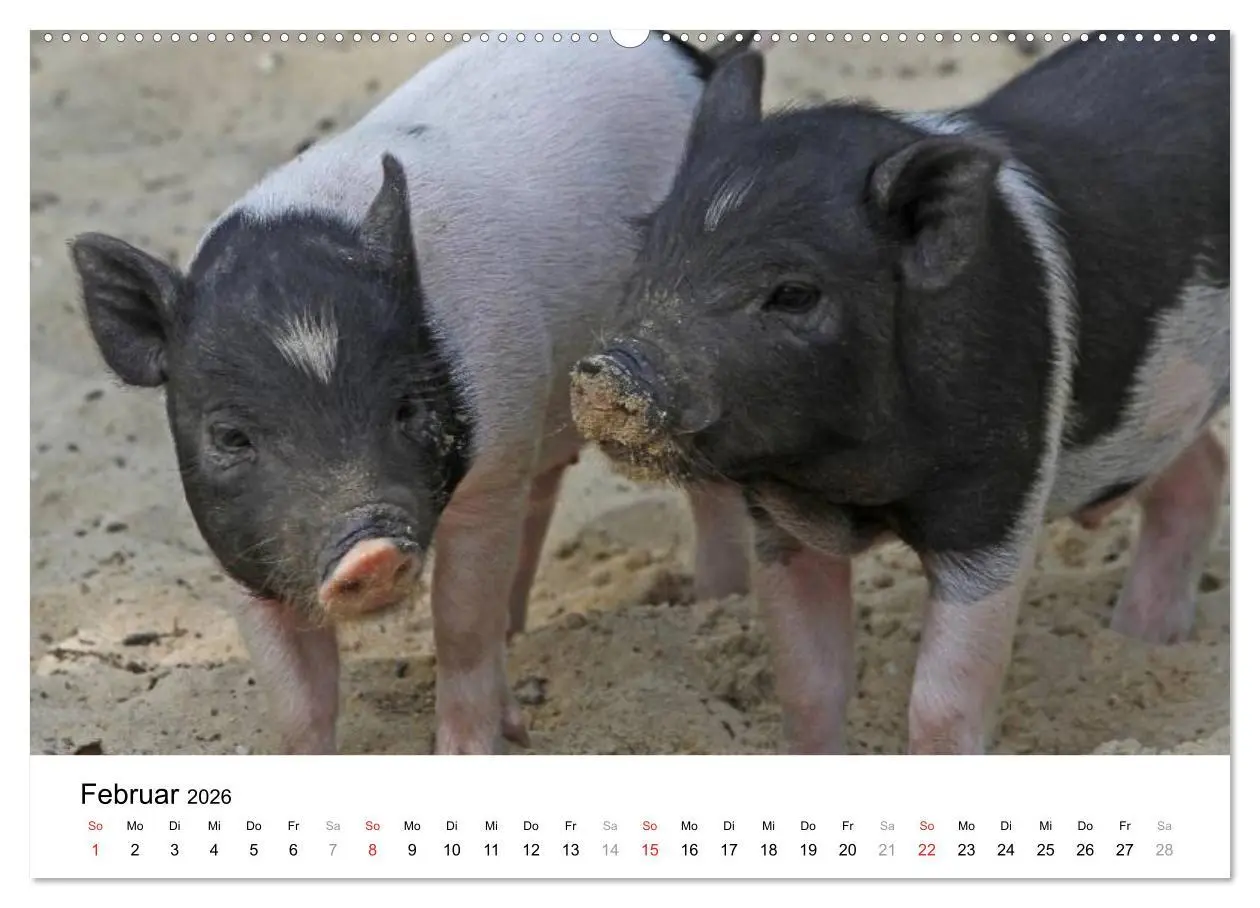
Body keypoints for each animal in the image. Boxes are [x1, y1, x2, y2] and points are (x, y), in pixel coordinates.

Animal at [69, 34, 757, 755]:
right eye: (230, 436)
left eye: (408, 409)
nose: (368, 550)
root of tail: (694, 60)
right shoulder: (242, 549)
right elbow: (296, 697)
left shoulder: (489, 469)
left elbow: (460, 622)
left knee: (709, 494)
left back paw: (715, 606)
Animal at [571, 35, 1229, 754]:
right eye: (647, 247)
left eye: (794, 293)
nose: (612, 369)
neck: (843, 481)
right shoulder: (782, 525)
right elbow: (807, 687)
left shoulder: (993, 499)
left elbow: (943, 701)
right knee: (1200, 471)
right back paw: (1141, 640)